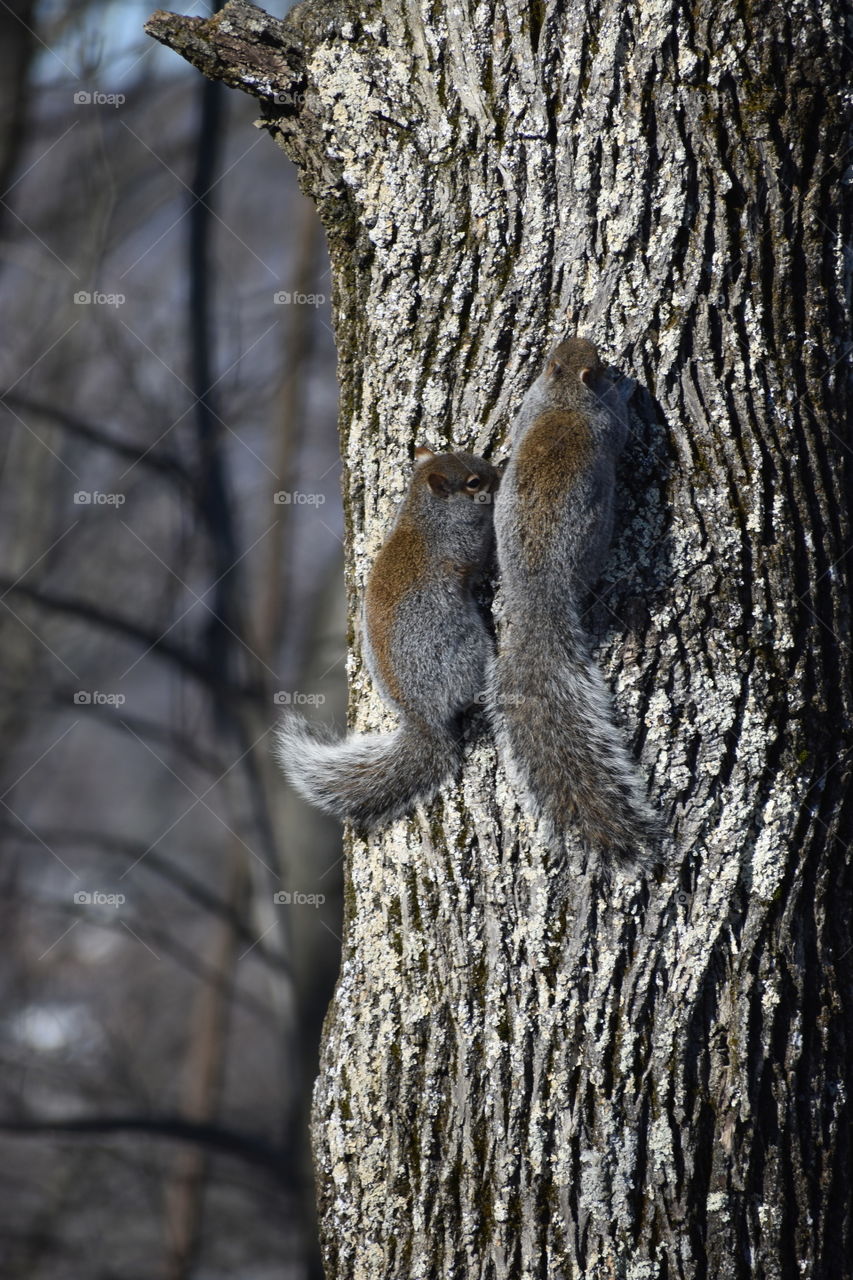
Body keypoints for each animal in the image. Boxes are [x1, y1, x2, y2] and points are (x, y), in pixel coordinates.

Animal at [275, 446, 501, 826]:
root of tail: (423, 717)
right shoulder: (459, 543)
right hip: (465, 651)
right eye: (473, 482)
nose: (497, 474)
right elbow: (478, 552)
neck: (422, 514)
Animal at [488, 336, 660, 870]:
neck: (563, 396)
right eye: (598, 365)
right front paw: (628, 389)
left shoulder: (529, 404)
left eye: (555, 356)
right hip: (592, 541)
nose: (607, 360)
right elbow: (622, 429)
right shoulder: (607, 425)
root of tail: (538, 594)